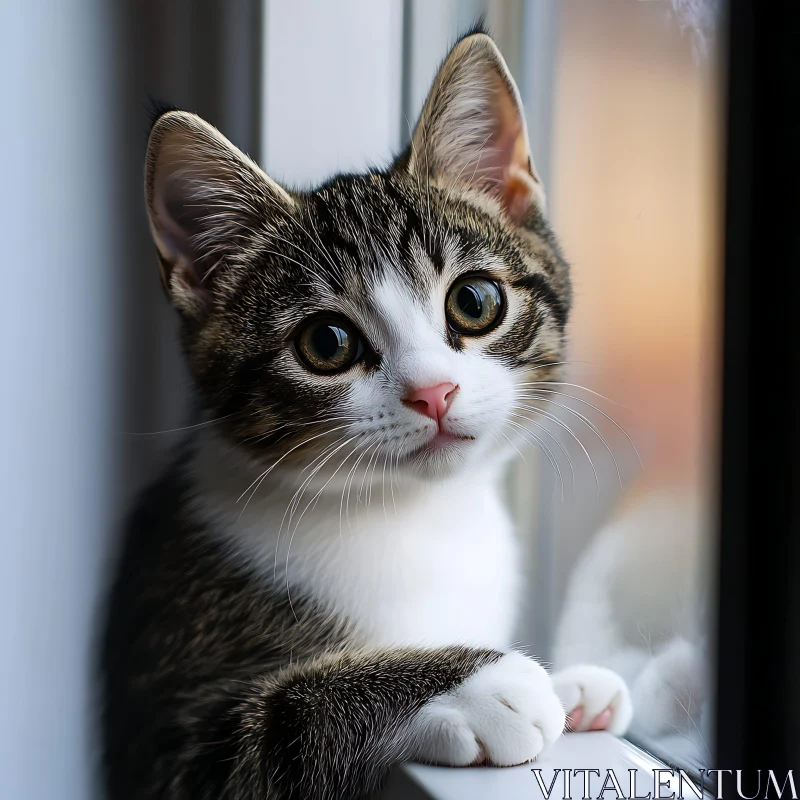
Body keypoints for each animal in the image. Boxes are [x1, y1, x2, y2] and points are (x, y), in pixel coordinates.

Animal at [101, 31, 632, 800]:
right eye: (327, 344)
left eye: (474, 302)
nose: (434, 392)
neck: (417, 515)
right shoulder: (160, 737)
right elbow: (281, 719)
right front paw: (479, 683)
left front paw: (572, 688)